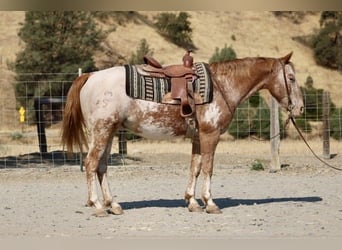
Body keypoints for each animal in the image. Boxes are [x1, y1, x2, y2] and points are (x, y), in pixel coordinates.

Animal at [61, 51, 304, 216]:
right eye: (291, 78)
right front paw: (210, 203)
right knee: (91, 164)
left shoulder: (198, 137)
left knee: (101, 166)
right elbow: (208, 167)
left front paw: (192, 202)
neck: (222, 85)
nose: (300, 108)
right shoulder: (210, 135)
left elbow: (195, 168)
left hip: (109, 132)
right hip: (101, 131)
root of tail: (90, 76)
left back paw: (113, 205)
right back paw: (98, 206)